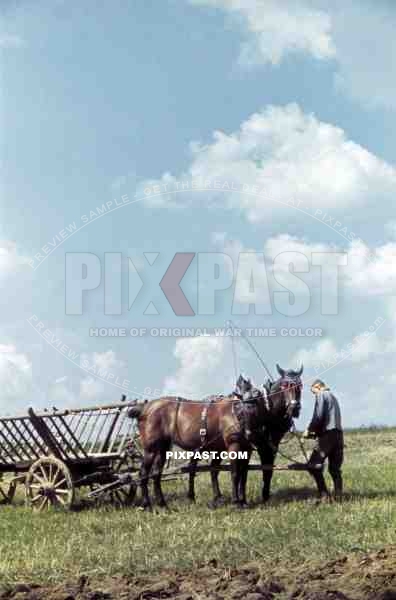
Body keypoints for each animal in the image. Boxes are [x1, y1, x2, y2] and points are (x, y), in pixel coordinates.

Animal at [186, 366, 304, 506]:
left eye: (300, 385)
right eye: (284, 385)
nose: (295, 408)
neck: (267, 410)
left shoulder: (270, 446)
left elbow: (263, 470)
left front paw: (256, 497)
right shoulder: (261, 447)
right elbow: (257, 470)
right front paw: (258, 497)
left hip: (218, 449)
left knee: (213, 469)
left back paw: (217, 497)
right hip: (201, 447)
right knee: (193, 467)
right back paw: (192, 496)